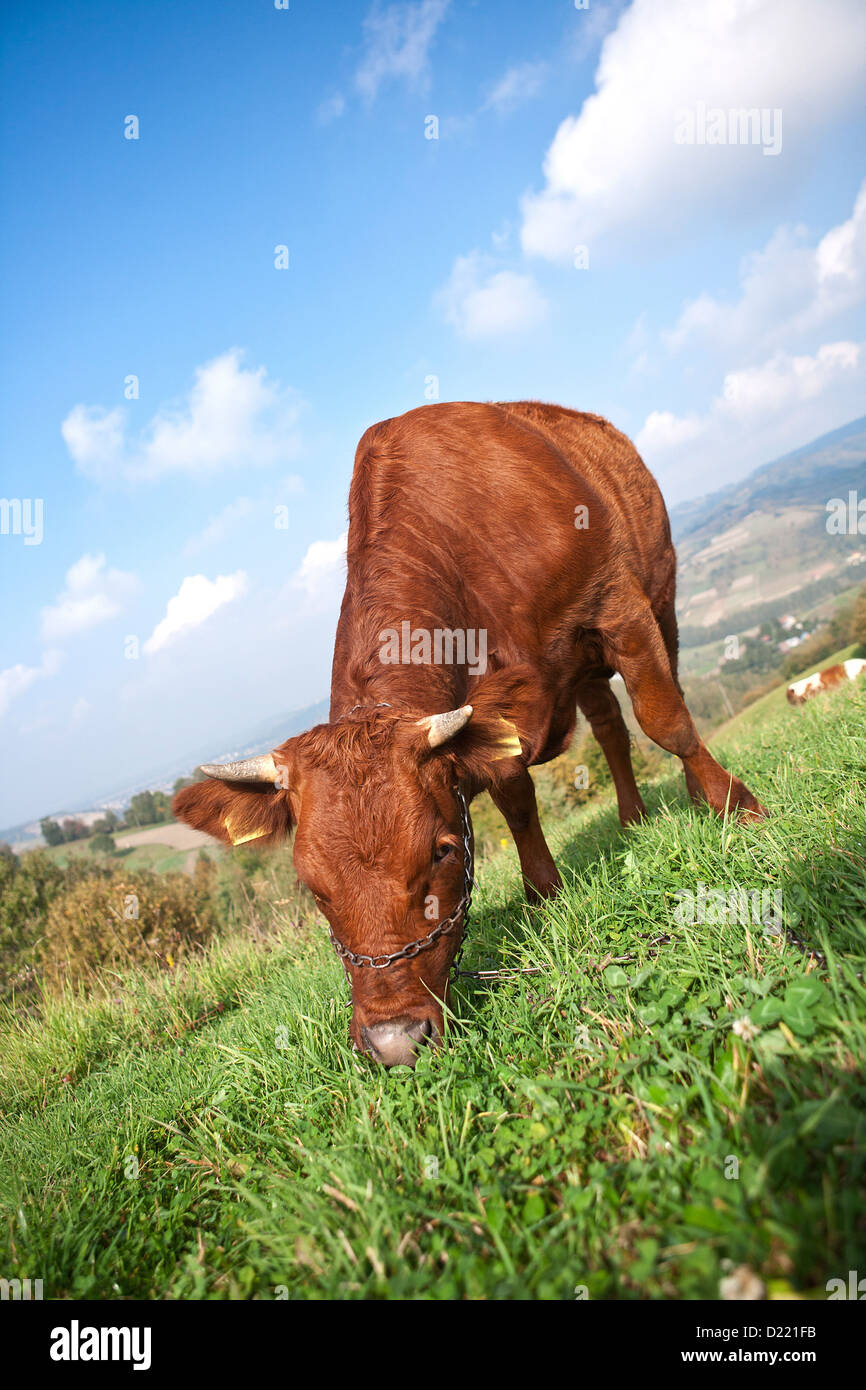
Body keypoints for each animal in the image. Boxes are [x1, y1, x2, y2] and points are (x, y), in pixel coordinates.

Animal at [174, 401, 765, 1067]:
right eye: (311, 886)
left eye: (442, 852)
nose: (394, 1040)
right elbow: (515, 796)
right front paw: (545, 895)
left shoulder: (618, 605)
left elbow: (666, 718)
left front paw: (738, 806)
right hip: (586, 668)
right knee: (610, 726)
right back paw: (633, 817)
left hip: (657, 602)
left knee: (663, 701)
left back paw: (694, 794)